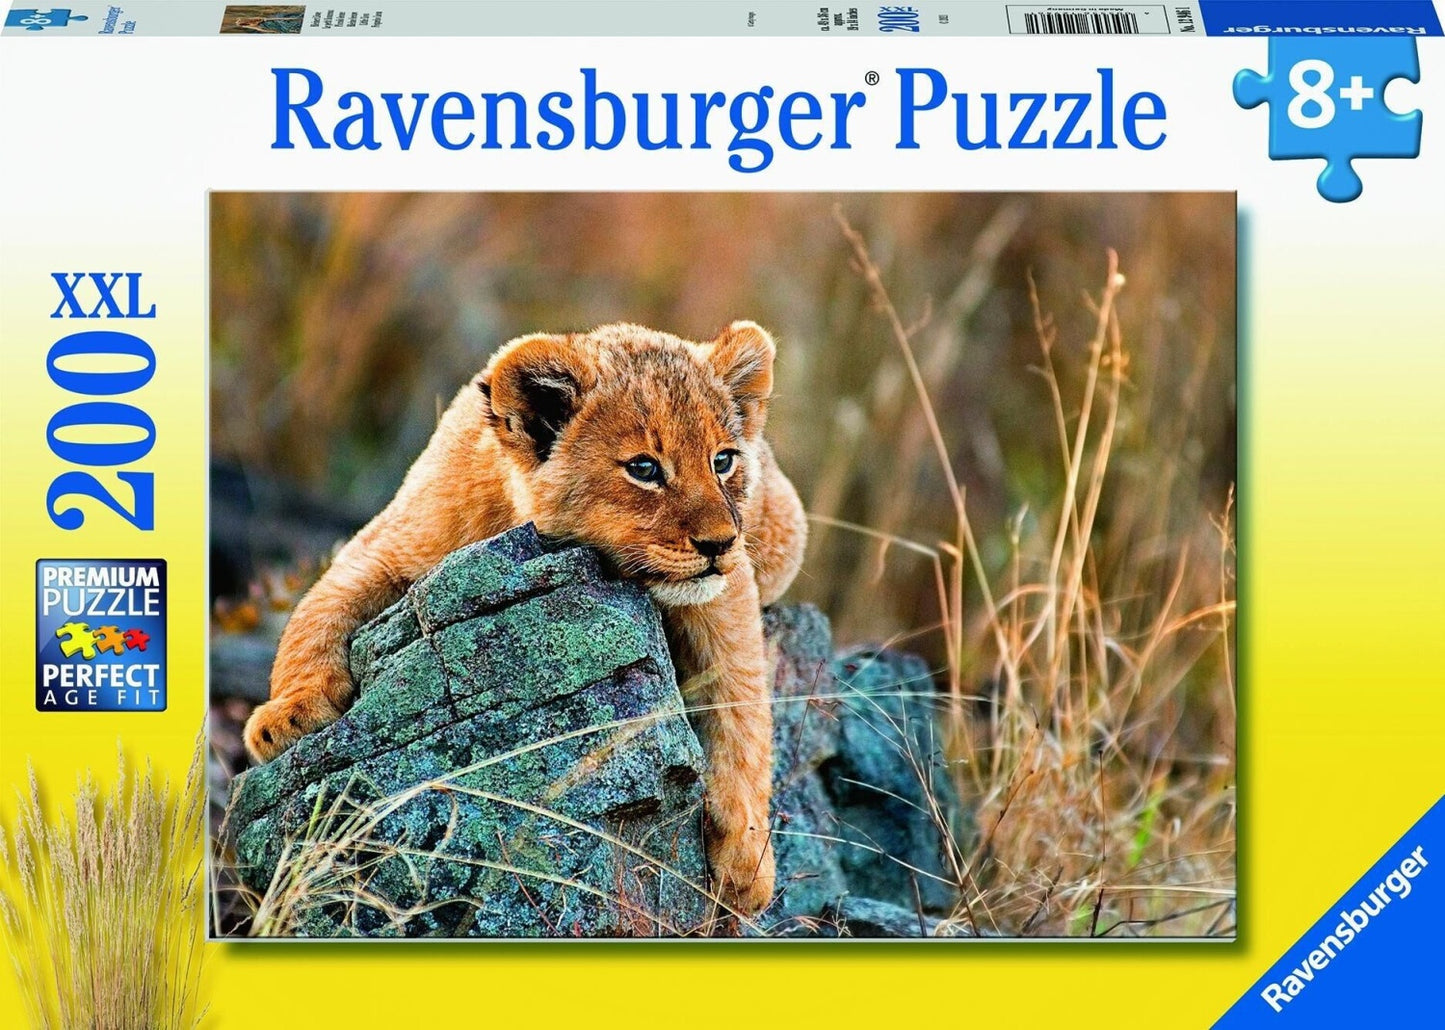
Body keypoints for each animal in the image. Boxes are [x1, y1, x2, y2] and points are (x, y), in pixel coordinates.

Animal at [243, 321, 808, 916]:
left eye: (723, 460)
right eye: (644, 468)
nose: (720, 543)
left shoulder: (726, 594)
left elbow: (742, 710)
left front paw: (747, 862)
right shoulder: (388, 544)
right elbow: (316, 611)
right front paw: (285, 717)